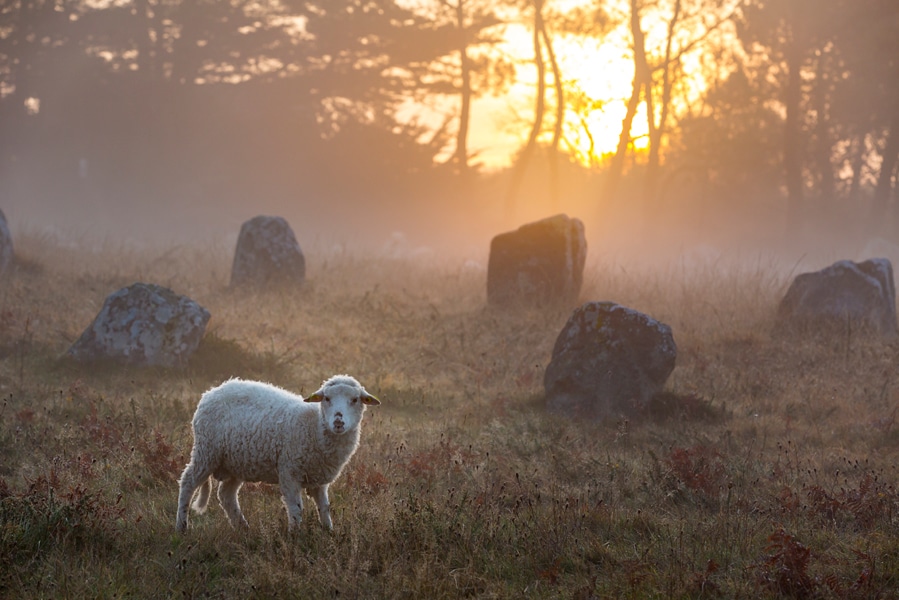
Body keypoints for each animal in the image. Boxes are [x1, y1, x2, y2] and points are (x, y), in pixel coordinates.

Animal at [176, 372, 380, 532]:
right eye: (327, 398)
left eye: (355, 400)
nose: (338, 422)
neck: (314, 426)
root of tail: (212, 391)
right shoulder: (289, 471)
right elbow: (296, 508)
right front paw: (296, 536)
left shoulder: (319, 479)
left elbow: (324, 507)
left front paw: (328, 532)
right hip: (206, 451)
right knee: (188, 482)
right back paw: (182, 527)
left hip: (236, 462)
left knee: (226, 495)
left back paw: (243, 528)